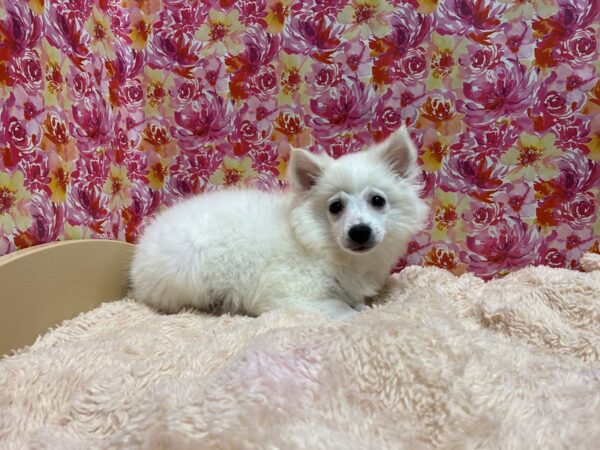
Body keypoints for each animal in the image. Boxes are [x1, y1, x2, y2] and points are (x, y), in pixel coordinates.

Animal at [131, 126, 428, 320]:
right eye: (335, 207)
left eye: (378, 201)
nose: (360, 231)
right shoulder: (292, 293)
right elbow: (342, 310)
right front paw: (359, 311)